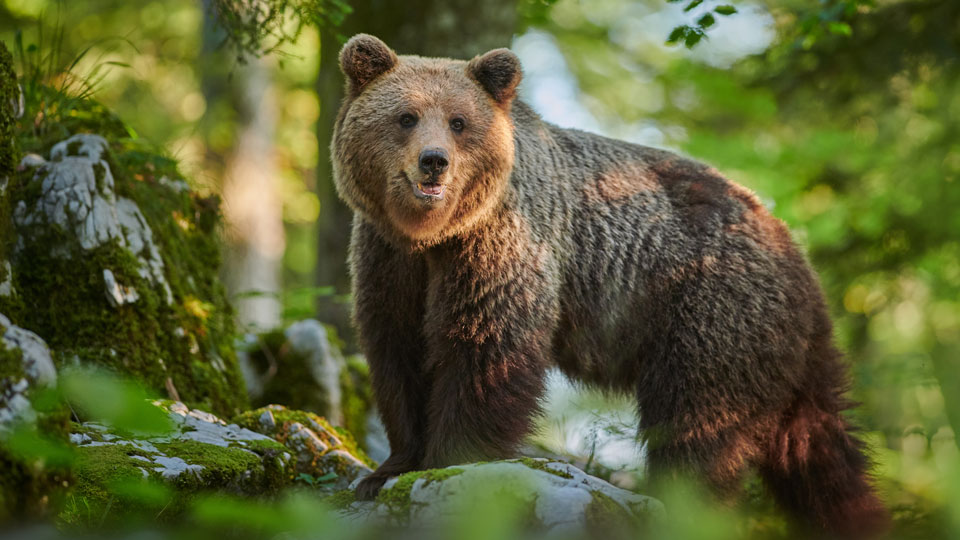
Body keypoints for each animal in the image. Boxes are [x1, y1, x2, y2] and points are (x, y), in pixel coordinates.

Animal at [330, 33, 884, 536]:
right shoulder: (389, 259)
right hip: (785, 348)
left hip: (710, 312)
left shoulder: (502, 246)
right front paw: (388, 469)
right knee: (818, 446)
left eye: (458, 122)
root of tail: (789, 244)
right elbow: (397, 349)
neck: (433, 236)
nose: (434, 161)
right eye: (405, 116)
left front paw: (453, 461)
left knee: (697, 423)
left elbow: (486, 348)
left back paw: (677, 504)